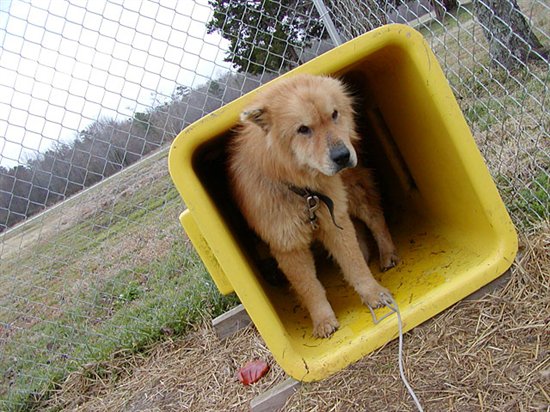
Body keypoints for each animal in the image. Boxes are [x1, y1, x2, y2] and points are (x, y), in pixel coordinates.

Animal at [230, 74, 402, 338]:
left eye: (334, 114)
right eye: (303, 129)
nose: (342, 156)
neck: (304, 191)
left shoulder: (334, 221)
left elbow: (356, 267)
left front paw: (374, 294)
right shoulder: (289, 246)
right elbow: (309, 288)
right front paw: (322, 320)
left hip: (354, 194)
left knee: (375, 219)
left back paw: (387, 254)